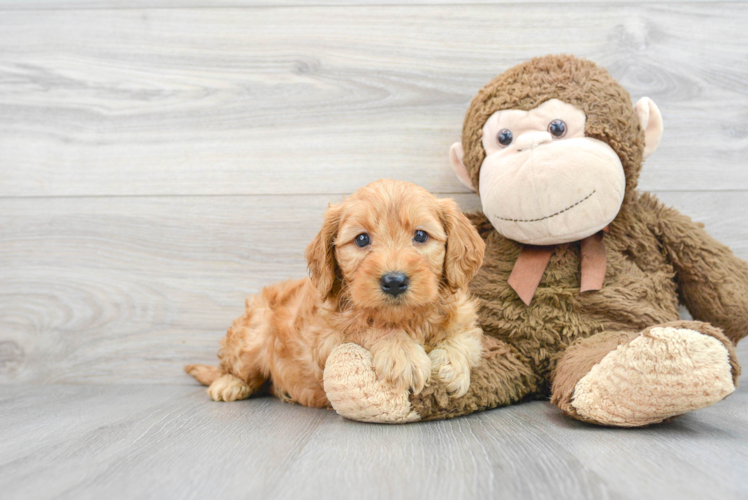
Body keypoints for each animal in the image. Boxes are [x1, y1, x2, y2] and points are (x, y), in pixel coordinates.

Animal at [186, 179, 486, 406]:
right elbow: (367, 325)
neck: (406, 318)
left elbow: (464, 338)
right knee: (234, 368)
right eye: (362, 239)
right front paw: (403, 353)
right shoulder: (326, 340)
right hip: (252, 333)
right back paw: (229, 384)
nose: (394, 281)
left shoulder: (464, 318)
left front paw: (451, 365)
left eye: (421, 236)